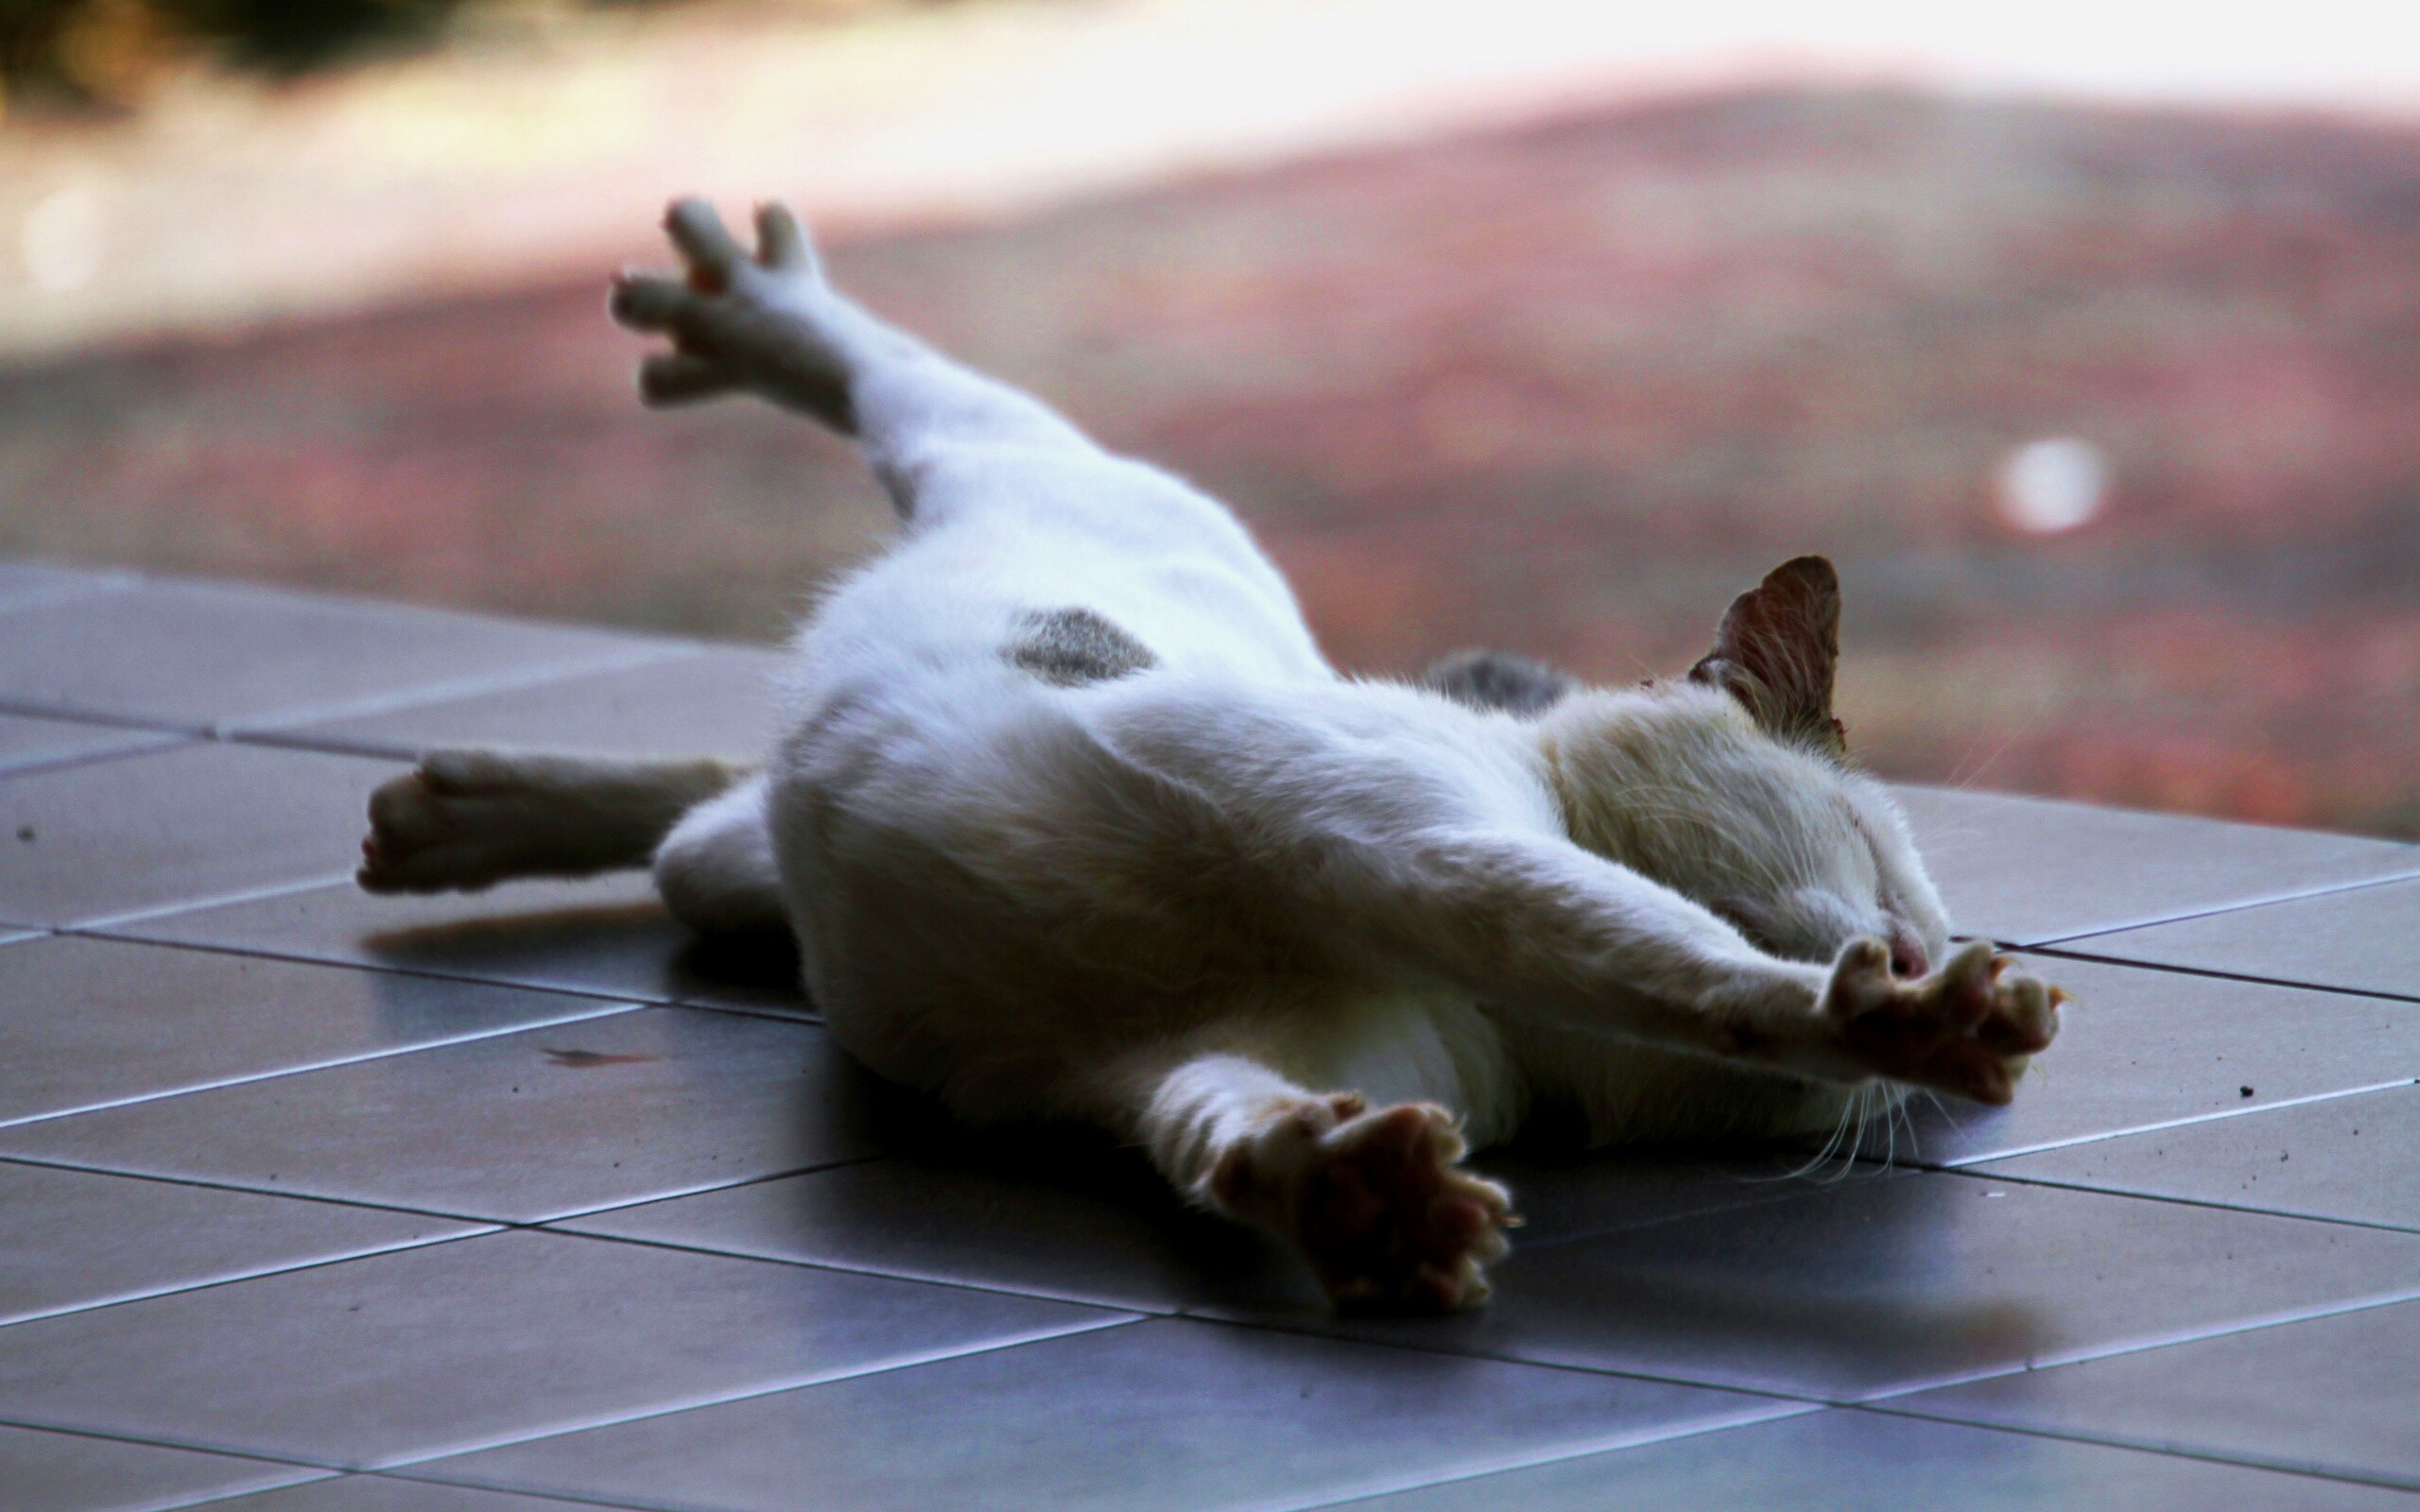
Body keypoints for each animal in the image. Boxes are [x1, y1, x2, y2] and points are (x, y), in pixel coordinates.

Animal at [358, 198, 2063, 1312]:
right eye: (1881, 864)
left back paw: (456, 813)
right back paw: (748, 307)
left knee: (701, 829)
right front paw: (1903, 1024)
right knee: (903, 387)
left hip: (749, 865)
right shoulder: (1419, 850)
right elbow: (1681, 963)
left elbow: (1211, 1126)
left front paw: (1344, 1194)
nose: (1924, 946)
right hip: (1021, 464)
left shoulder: (1195, 1053)